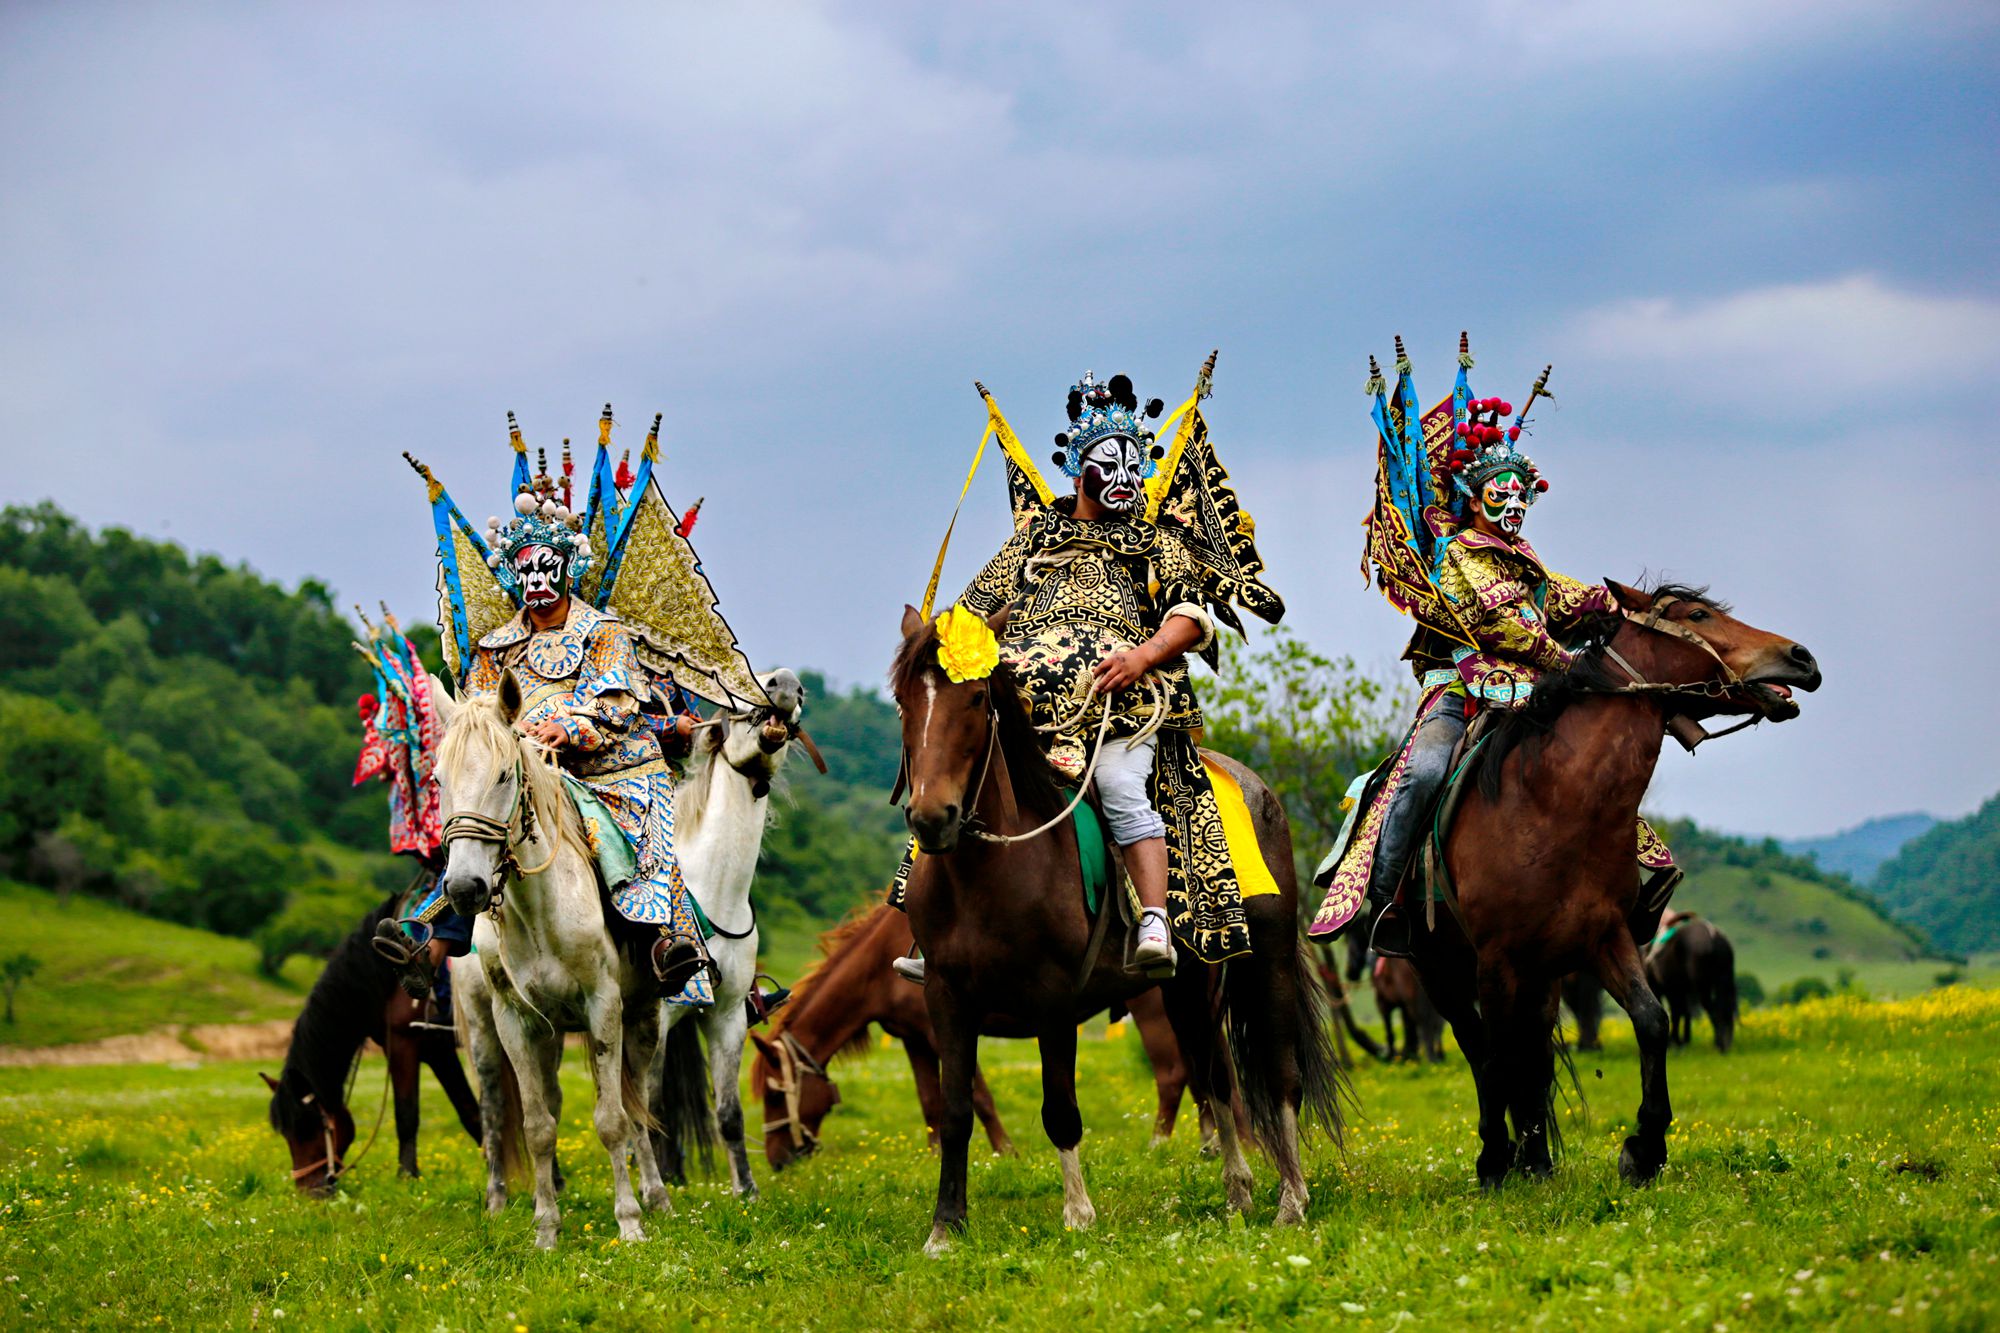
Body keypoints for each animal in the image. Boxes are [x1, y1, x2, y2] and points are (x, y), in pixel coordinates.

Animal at [262, 888, 480, 1184]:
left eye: (306, 1126)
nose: (308, 1189)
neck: (380, 976)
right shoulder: (435, 1050)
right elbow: (470, 1113)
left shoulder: (406, 1043)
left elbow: (406, 1115)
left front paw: (406, 1176)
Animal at [748, 904, 1224, 1160]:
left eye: (774, 1095)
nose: (777, 1159)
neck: (879, 966)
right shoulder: (914, 1040)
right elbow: (930, 1103)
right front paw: (935, 1155)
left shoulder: (944, 1031)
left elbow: (980, 1098)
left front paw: (1005, 1151)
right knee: (1197, 1072)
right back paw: (1209, 1138)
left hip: (1153, 1010)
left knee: (1173, 1075)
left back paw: (1161, 1143)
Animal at [888, 600, 1328, 1248]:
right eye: (903, 701)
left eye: (975, 699)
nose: (931, 818)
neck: (988, 874)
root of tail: (1255, 786)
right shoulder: (945, 996)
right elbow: (955, 1112)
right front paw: (946, 1227)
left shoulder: (1051, 998)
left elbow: (1059, 1110)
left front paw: (1078, 1214)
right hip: (1189, 984)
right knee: (1215, 1075)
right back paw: (1237, 1193)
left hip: (1265, 961)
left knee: (1279, 1075)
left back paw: (1292, 1201)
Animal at [1648, 908, 1744, 1056]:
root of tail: (1713, 935)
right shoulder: (1680, 989)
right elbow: (1683, 1012)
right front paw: (1682, 1041)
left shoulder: (1663, 988)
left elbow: (1676, 1013)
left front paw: (1676, 1042)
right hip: (1723, 979)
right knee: (1724, 1008)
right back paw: (1725, 1042)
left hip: (1702, 986)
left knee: (1713, 1010)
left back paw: (1719, 1044)